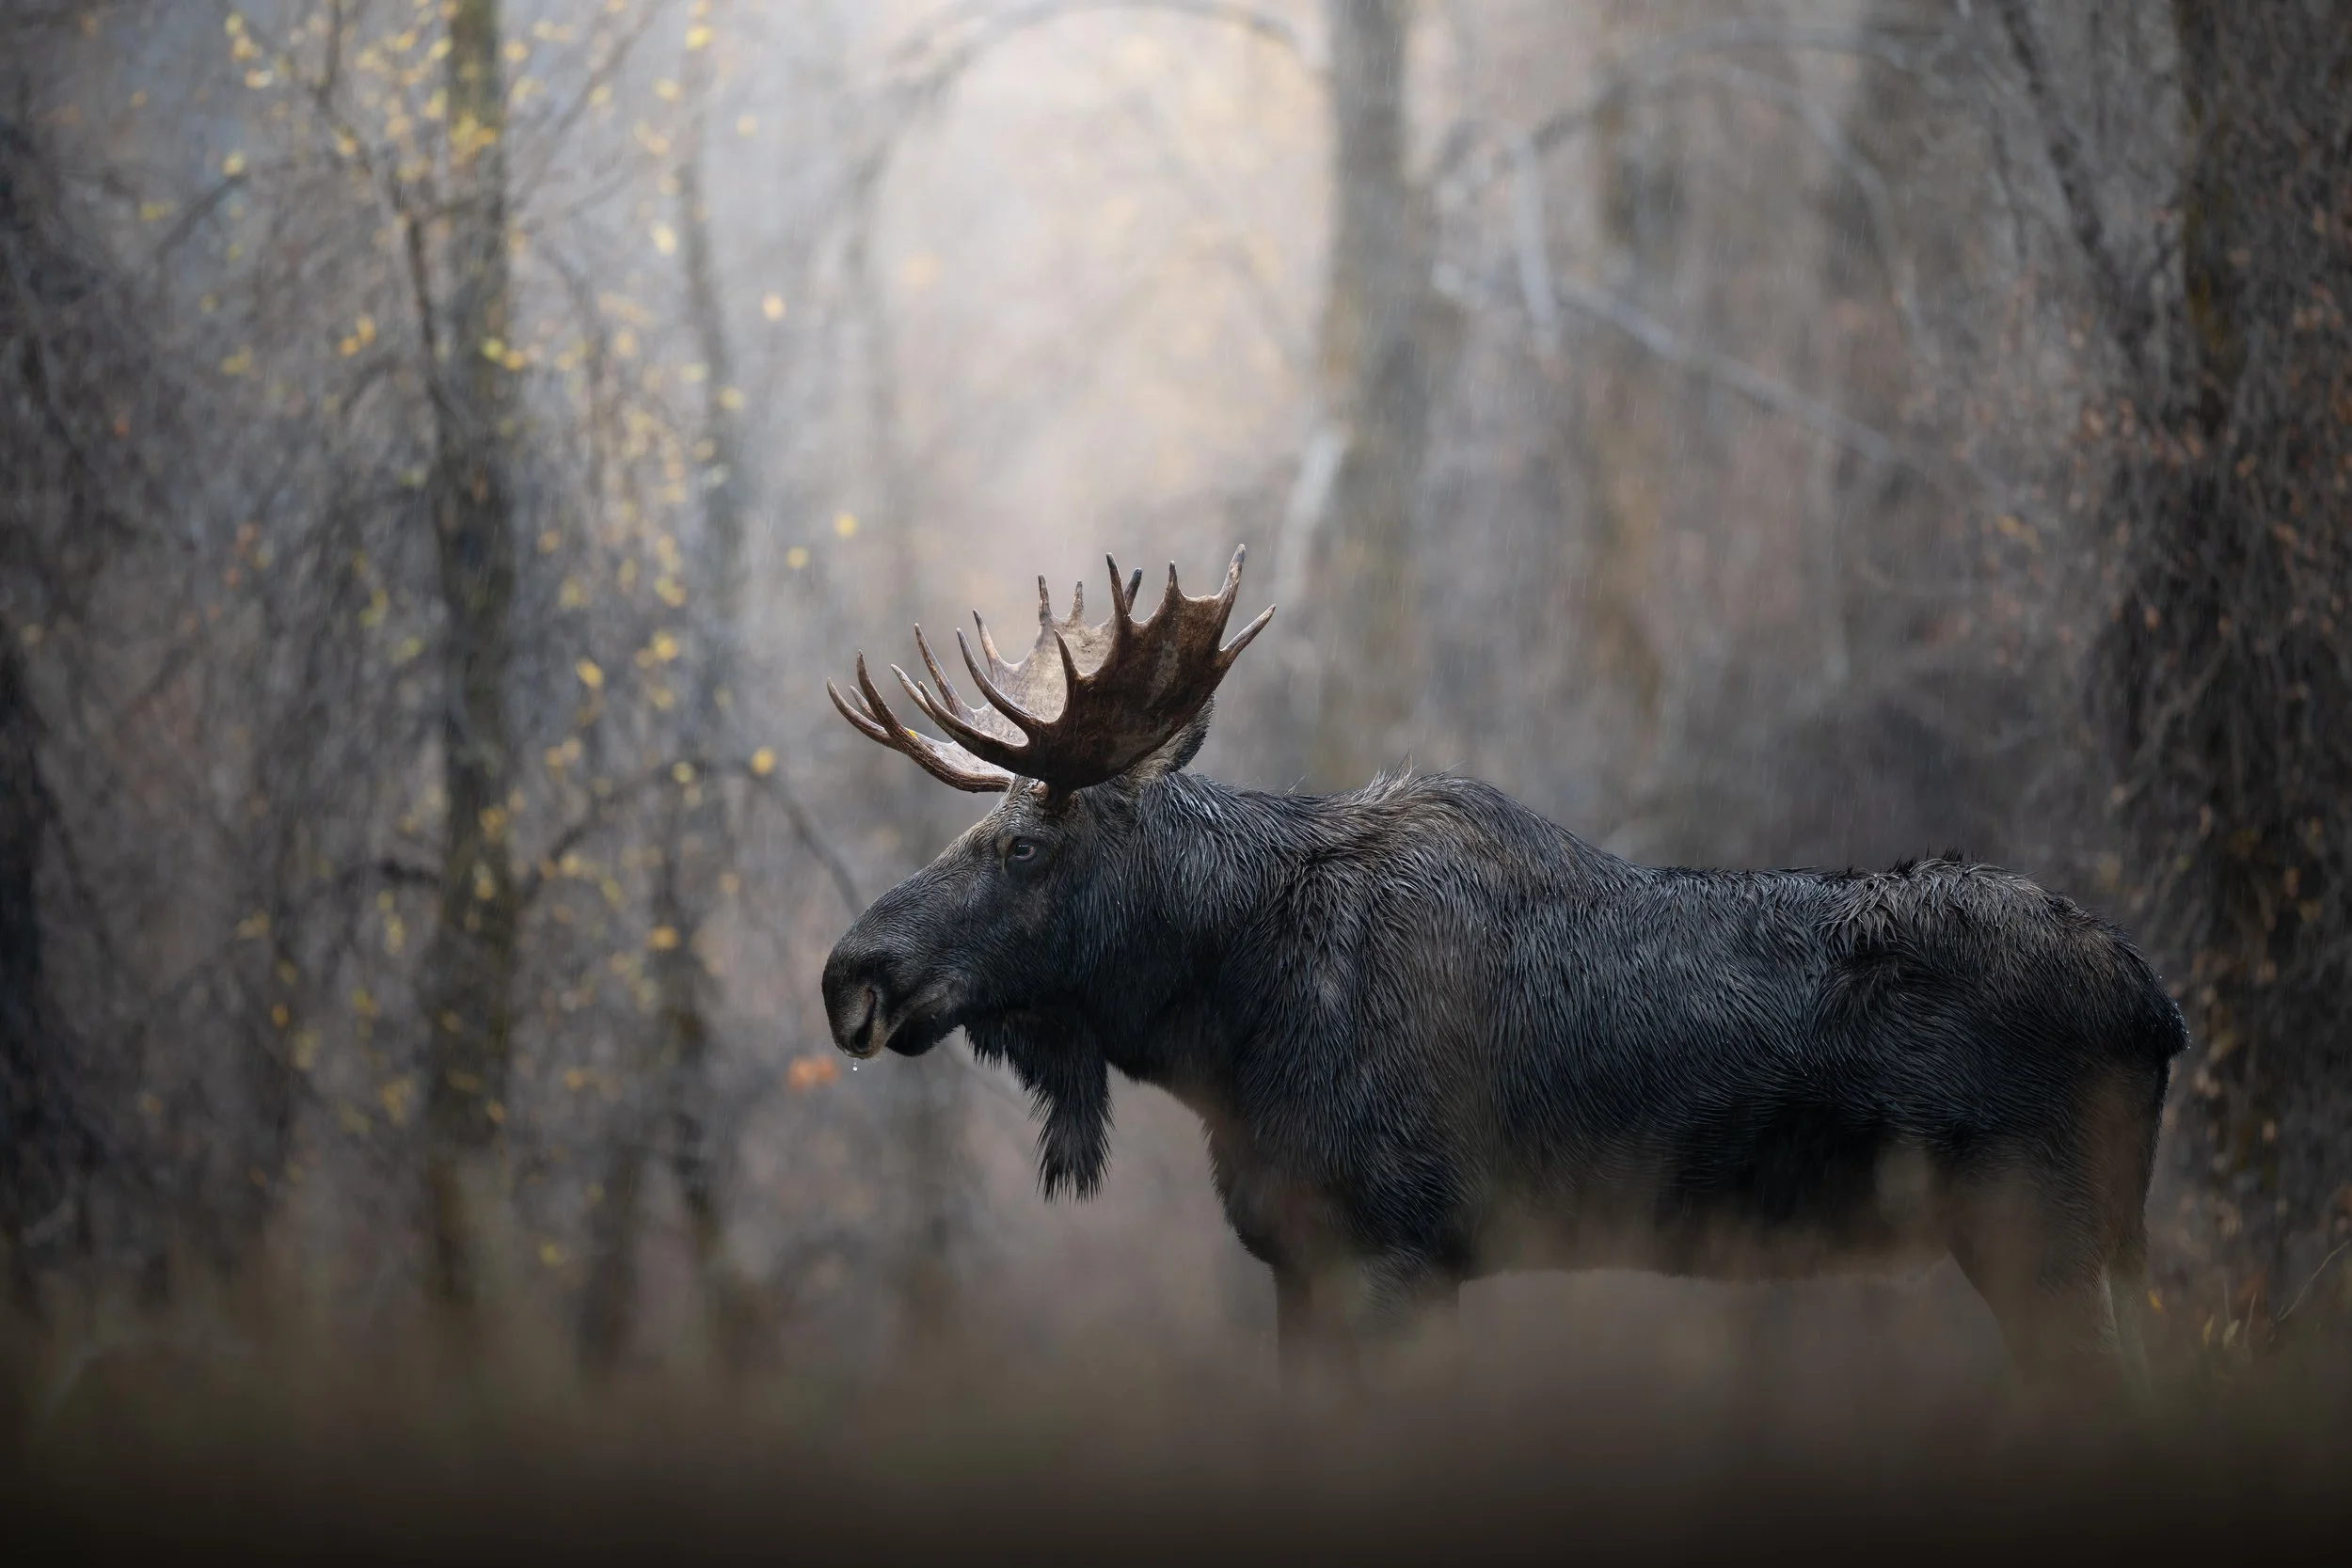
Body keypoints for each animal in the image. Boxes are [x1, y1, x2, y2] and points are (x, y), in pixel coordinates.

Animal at [820, 546, 2186, 1393]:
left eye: (1022, 843)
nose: (852, 971)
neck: (1226, 1029)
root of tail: (2158, 1009)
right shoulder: (1303, 1261)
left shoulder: (1401, 1249)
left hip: (2039, 1230)